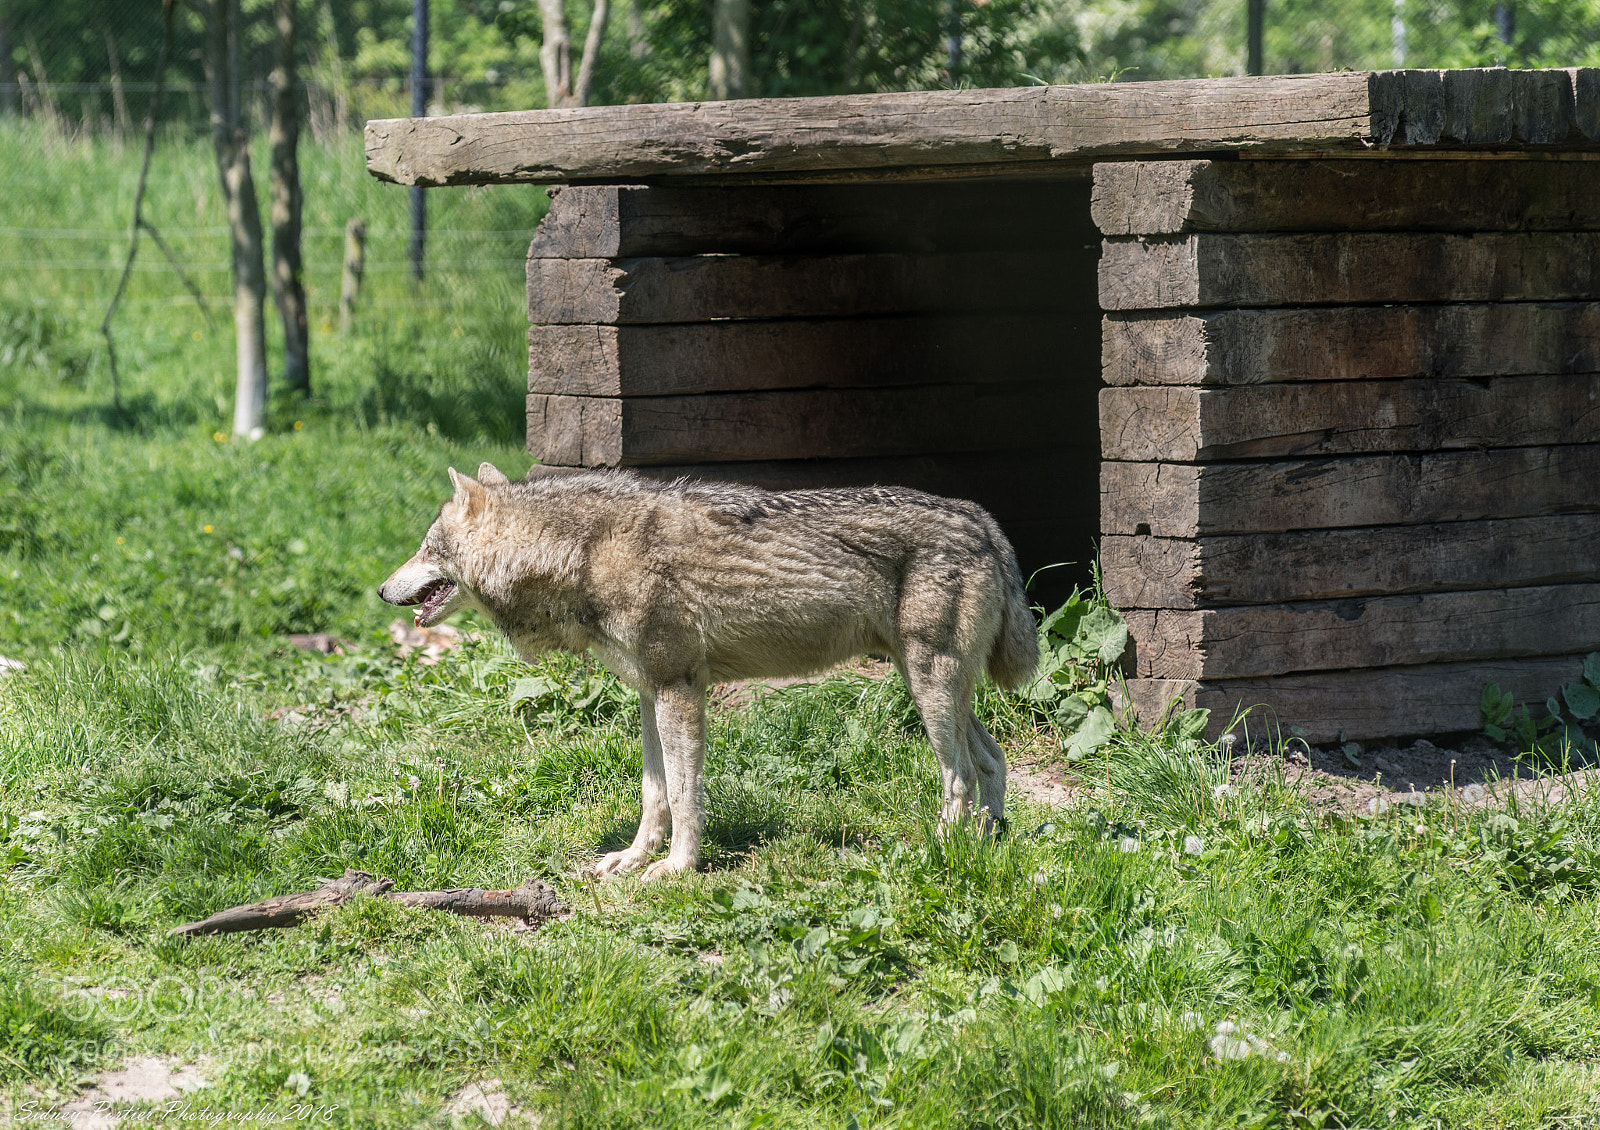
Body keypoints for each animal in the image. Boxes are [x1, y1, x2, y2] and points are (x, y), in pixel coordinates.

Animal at [379, 465, 1037, 881]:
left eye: (427, 549)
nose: (382, 590)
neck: (584, 552)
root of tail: (981, 518)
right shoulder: (651, 695)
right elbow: (655, 794)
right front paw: (634, 860)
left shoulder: (680, 691)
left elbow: (685, 794)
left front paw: (677, 869)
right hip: (933, 689)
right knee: (992, 761)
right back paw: (990, 842)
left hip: (929, 689)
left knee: (960, 777)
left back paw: (943, 850)